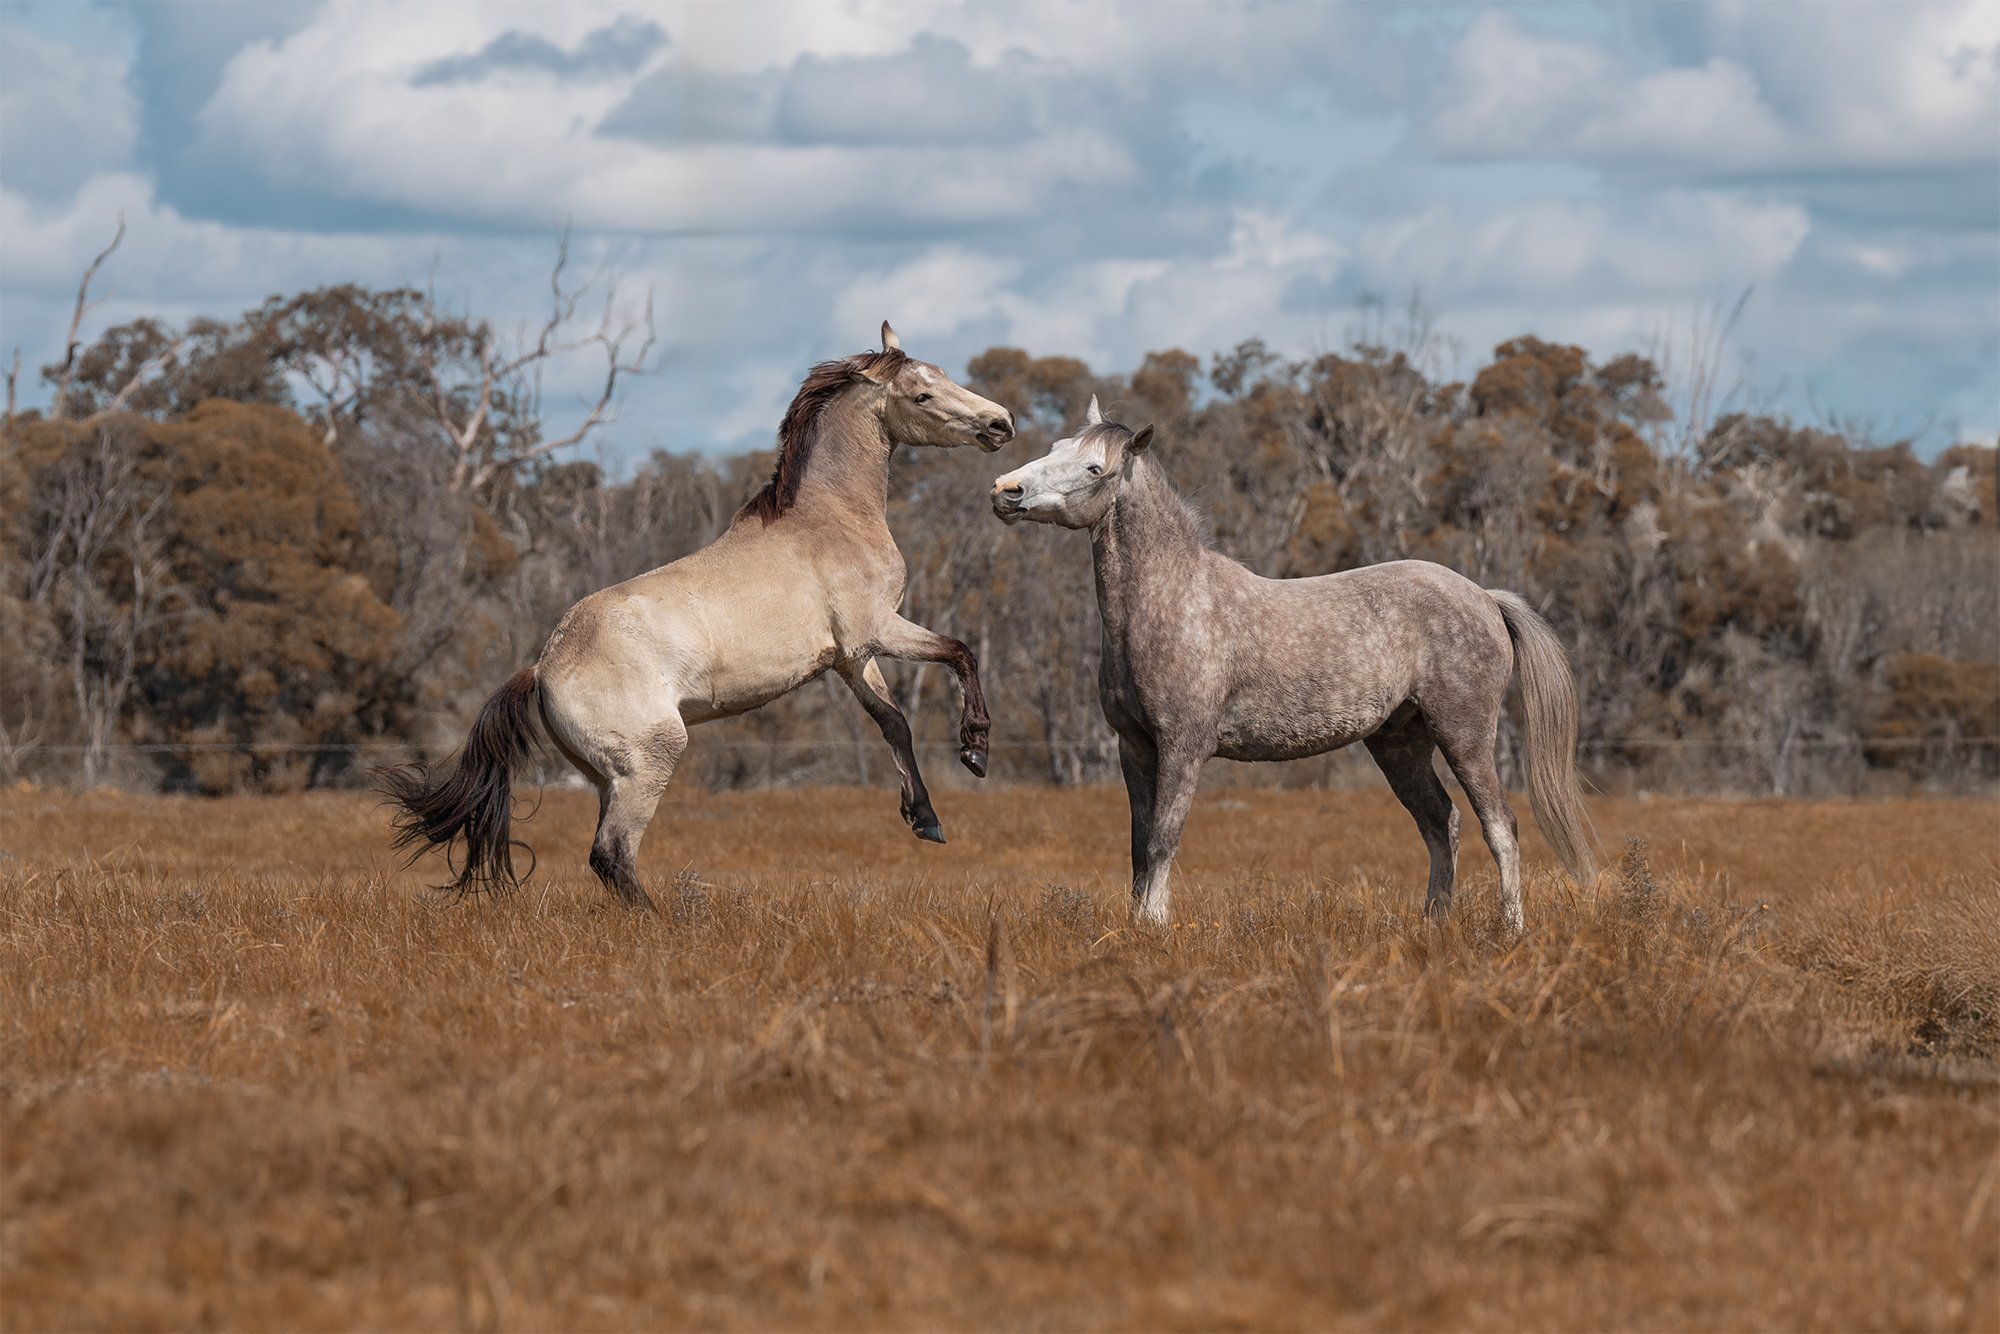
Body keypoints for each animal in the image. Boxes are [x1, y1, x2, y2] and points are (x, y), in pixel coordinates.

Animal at [381, 323, 1017, 909]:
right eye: (923, 395)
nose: (1001, 424)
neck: (829, 520)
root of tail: (541, 668)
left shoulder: (849, 658)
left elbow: (894, 723)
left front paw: (925, 817)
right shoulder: (879, 630)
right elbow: (961, 652)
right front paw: (976, 751)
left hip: (608, 780)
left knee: (606, 857)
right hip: (650, 764)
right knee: (611, 854)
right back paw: (664, 923)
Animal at [990, 399, 1596, 930]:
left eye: (1094, 467)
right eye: (1056, 447)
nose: (1005, 490)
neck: (1171, 603)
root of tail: (1486, 598)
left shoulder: (1183, 746)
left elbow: (1163, 838)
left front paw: (1154, 927)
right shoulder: (1134, 747)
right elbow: (1139, 846)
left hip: (1464, 735)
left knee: (1500, 826)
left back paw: (1510, 928)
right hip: (1399, 744)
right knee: (1439, 824)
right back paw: (1435, 924)